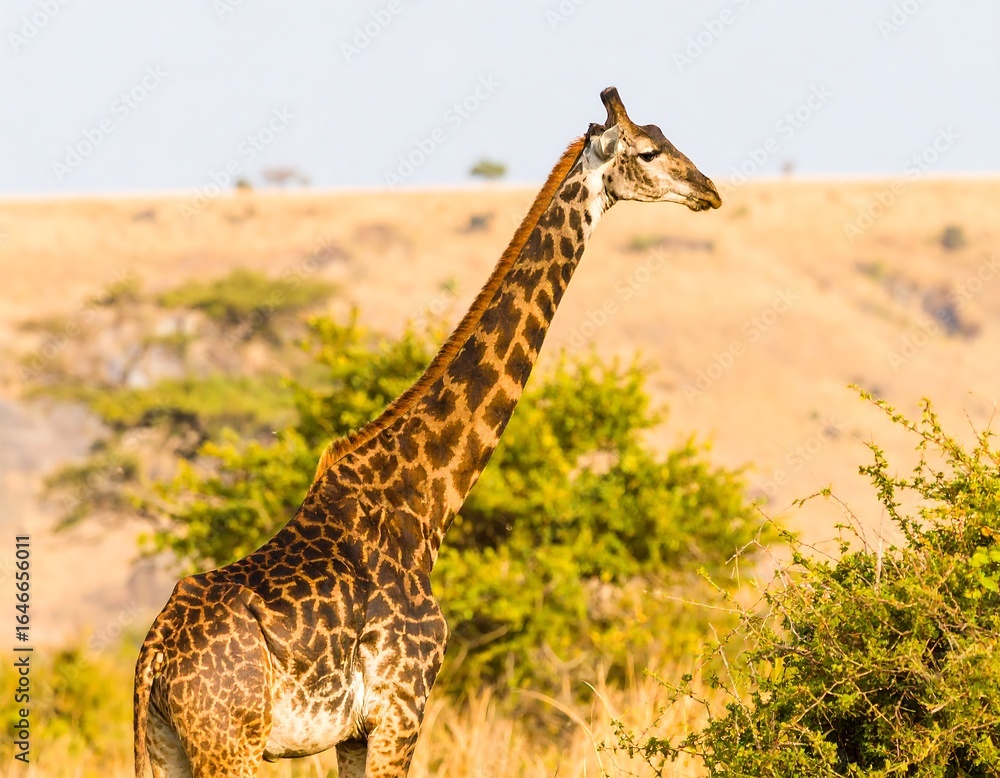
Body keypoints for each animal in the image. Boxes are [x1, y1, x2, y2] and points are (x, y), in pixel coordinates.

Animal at [133, 86, 721, 778]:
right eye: (649, 151)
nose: (709, 189)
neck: (423, 500)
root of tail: (155, 655)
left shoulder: (357, 732)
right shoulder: (401, 707)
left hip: (168, 745)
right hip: (232, 746)